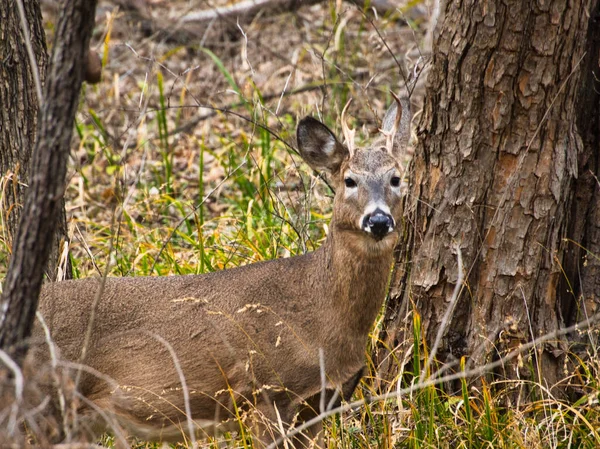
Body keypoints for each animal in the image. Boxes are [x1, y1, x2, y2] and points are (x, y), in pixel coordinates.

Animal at [29, 93, 412, 444]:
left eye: (396, 179)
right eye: (349, 180)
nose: (379, 220)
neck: (321, 312)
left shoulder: (319, 404)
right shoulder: (265, 393)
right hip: (42, 402)